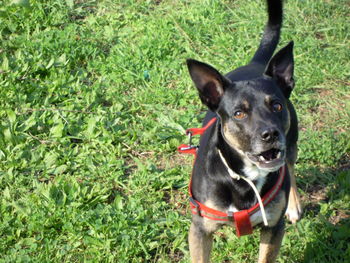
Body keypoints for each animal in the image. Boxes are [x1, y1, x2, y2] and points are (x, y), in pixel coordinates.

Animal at [185, 0, 302, 263]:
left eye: (276, 105)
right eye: (239, 113)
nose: (270, 134)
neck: (244, 177)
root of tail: (256, 65)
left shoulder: (273, 228)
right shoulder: (200, 230)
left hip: (291, 144)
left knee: (289, 167)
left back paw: (293, 205)